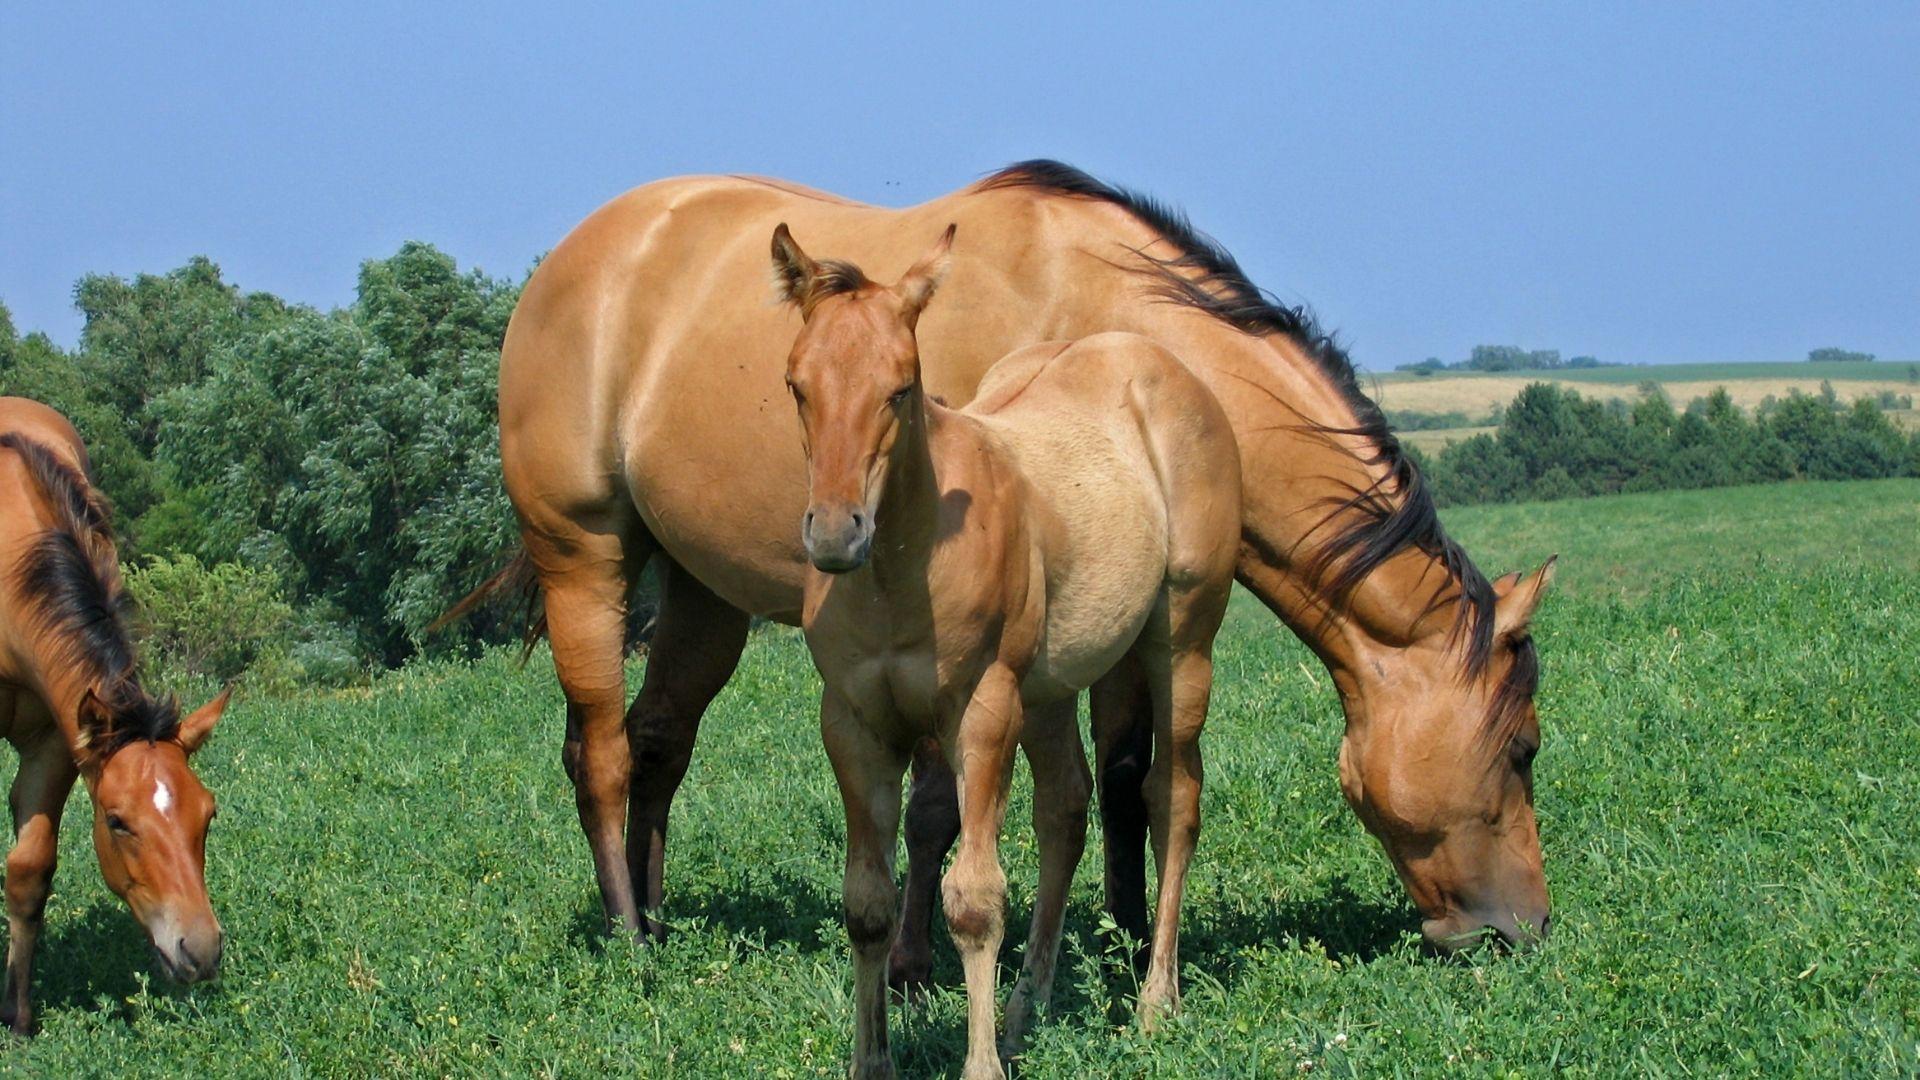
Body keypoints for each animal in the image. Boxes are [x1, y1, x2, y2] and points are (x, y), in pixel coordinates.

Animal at [0, 397, 232, 1034]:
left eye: (208, 814)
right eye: (118, 822)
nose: (199, 949)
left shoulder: (59, 738)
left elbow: (28, 871)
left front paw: (18, 1017)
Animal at [477, 160, 1553, 975]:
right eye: (1524, 749)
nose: (1525, 927)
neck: (1109, 324)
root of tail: (579, 254)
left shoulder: (1113, 615)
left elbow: (1125, 776)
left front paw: (1124, 939)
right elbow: (937, 808)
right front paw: (914, 967)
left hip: (703, 594)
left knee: (659, 744)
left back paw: (660, 922)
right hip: (585, 556)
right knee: (601, 754)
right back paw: (627, 940)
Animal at [775, 223, 1240, 1075]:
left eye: (901, 387)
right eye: (798, 384)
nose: (834, 535)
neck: (901, 571)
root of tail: (1162, 367)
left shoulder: (982, 710)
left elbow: (973, 899)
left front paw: (981, 1062)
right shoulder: (854, 723)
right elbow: (867, 902)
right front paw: (872, 1061)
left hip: (1183, 641)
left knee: (1173, 797)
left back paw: (1157, 1001)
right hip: (1048, 691)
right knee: (1065, 810)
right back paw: (1029, 1007)